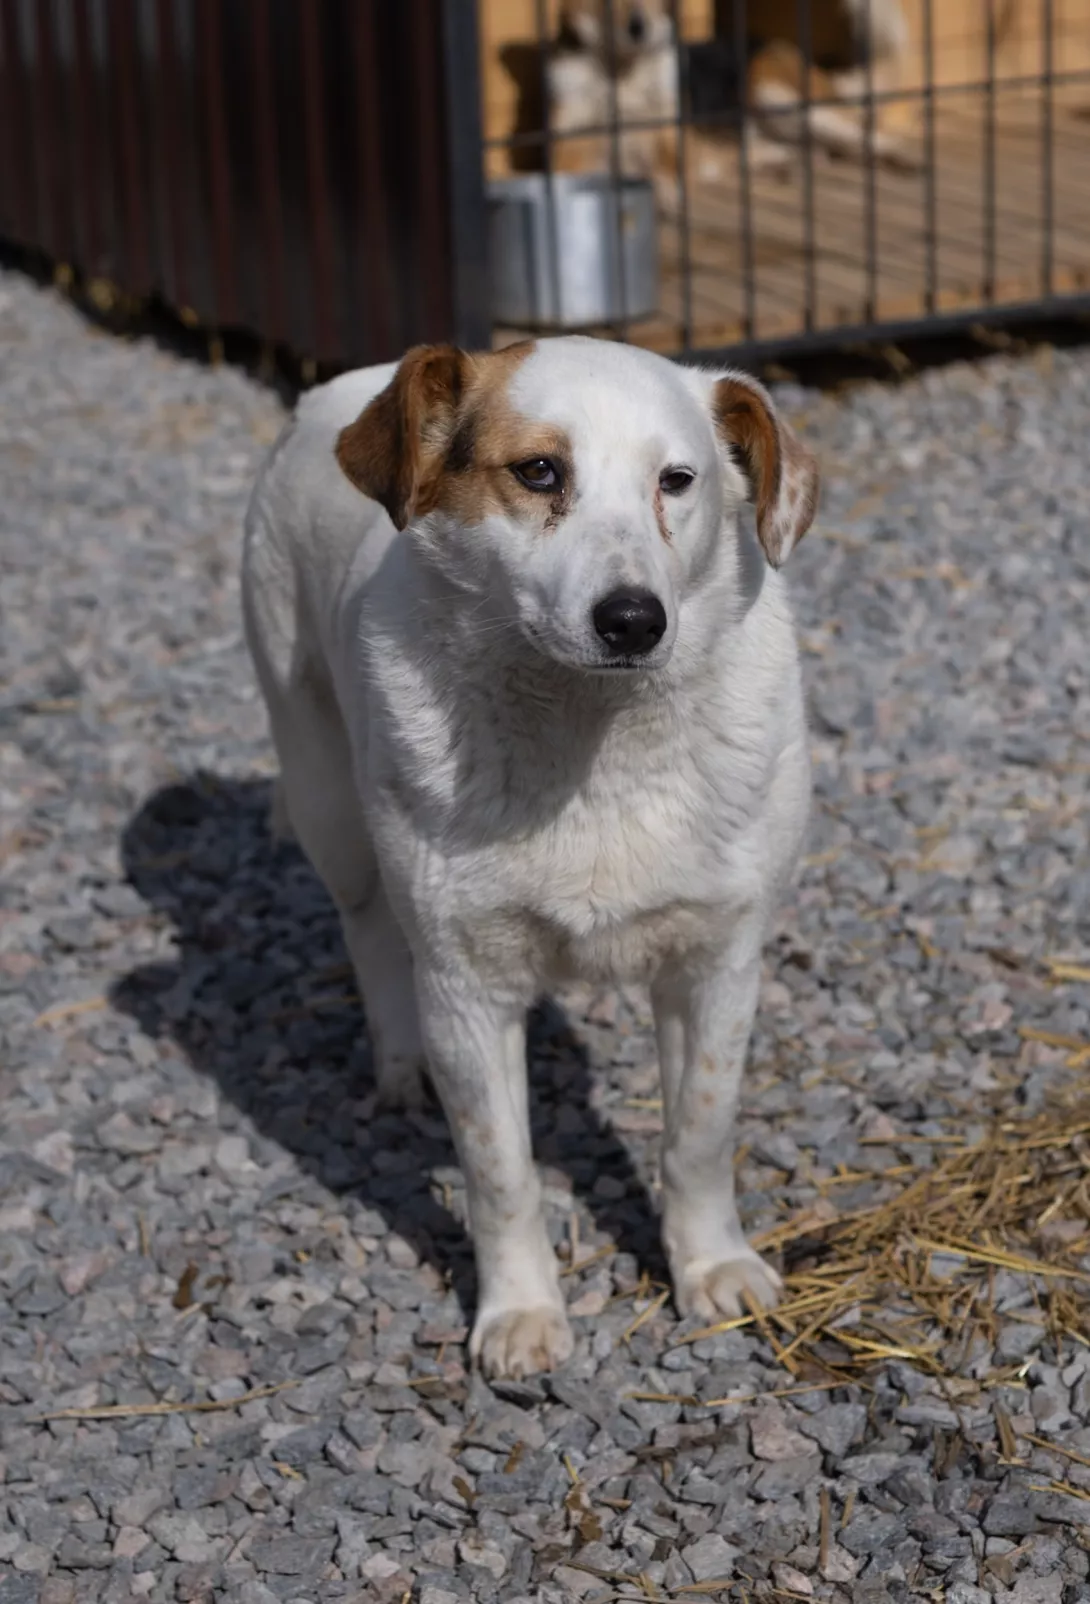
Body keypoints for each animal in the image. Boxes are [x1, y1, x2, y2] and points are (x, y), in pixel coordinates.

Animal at [242, 336, 818, 1379]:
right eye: (540, 472)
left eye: (678, 480)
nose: (633, 620)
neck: (591, 746)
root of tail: (338, 389)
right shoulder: (467, 989)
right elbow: (499, 1170)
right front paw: (520, 1312)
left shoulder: (718, 960)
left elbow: (699, 1131)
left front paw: (710, 1266)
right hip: (326, 799)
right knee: (369, 930)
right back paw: (397, 1067)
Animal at [546, 0, 916, 193]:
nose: (638, 28)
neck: (620, 73)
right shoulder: (566, 150)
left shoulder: (670, 143)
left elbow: (663, 172)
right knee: (816, 151)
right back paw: (782, 165)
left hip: (770, 92)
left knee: (870, 138)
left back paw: (903, 162)